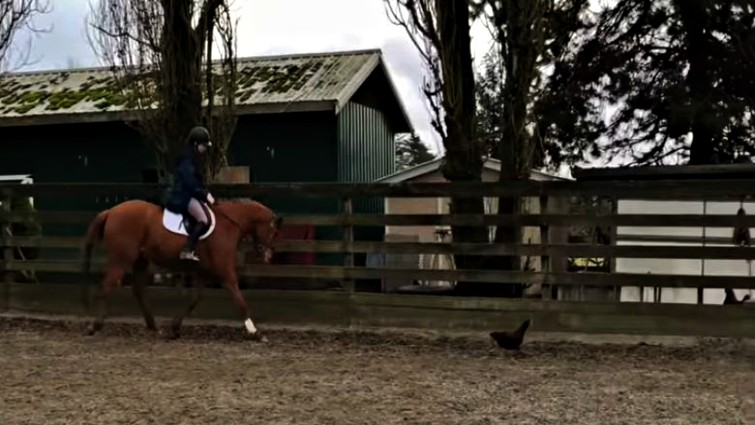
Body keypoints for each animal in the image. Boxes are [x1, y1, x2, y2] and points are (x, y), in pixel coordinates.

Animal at [81, 198, 282, 341]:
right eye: (273, 232)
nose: (268, 256)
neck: (229, 224)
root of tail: (111, 211)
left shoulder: (202, 273)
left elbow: (193, 299)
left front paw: (175, 328)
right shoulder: (225, 272)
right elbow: (239, 299)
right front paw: (256, 332)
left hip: (140, 259)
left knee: (137, 290)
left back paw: (154, 327)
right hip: (121, 259)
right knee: (108, 285)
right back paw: (95, 325)